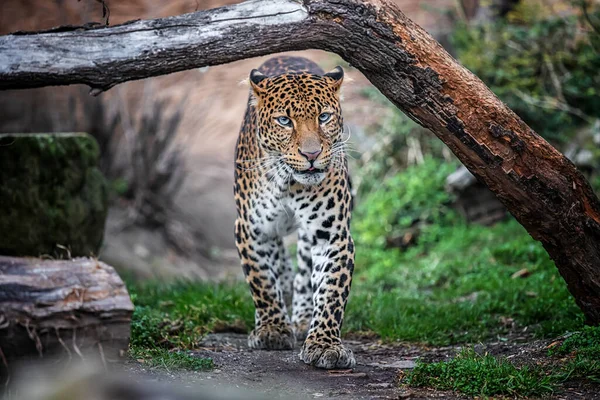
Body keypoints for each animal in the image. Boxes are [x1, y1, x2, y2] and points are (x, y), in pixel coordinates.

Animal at [233, 55, 356, 368]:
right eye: (284, 121)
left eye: (323, 117)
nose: (311, 155)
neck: (289, 183)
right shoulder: (251, 230)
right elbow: (262, 281)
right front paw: (272, 330)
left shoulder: (332, 235)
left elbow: (331, 291)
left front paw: (324, 345)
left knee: (303, 275)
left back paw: (301, 320)